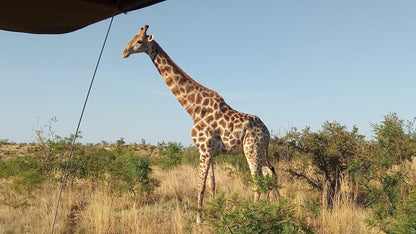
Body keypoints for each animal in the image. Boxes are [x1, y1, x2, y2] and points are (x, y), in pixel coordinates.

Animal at [122, 25, 274, 223]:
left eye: (139, 41)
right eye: (131, 37)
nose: (124, 52)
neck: (193, 109)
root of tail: (268, 132)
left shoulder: (204, 149)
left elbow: (200, 186)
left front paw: (199, 220)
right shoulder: (209, 151)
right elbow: (212, 185)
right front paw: (216, 213)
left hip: (251, 149)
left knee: (257, 180)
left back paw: (255, 213)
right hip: (260, 149)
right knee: (269, 173)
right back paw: (276, 206)